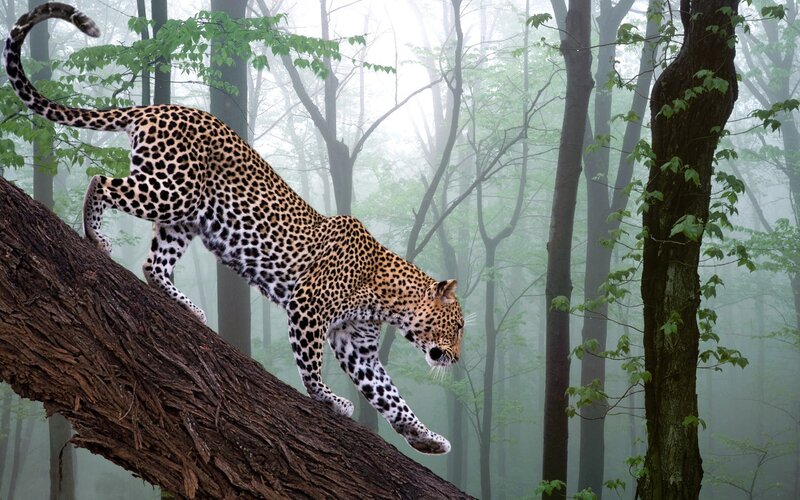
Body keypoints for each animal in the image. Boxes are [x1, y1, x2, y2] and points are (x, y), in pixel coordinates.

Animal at [5, 2, 465, 455]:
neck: (387, 298)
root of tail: (161, 108)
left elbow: (390, 396)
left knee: (154, 264)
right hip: (170, 190)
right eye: (458, 326)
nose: (457, 359)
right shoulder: (308, 308)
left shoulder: (359, 347)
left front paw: (425, 437)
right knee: (101, 181)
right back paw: (96, 236)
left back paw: (187, 307)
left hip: (185, 217)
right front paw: (328, 399)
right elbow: (311, 365)